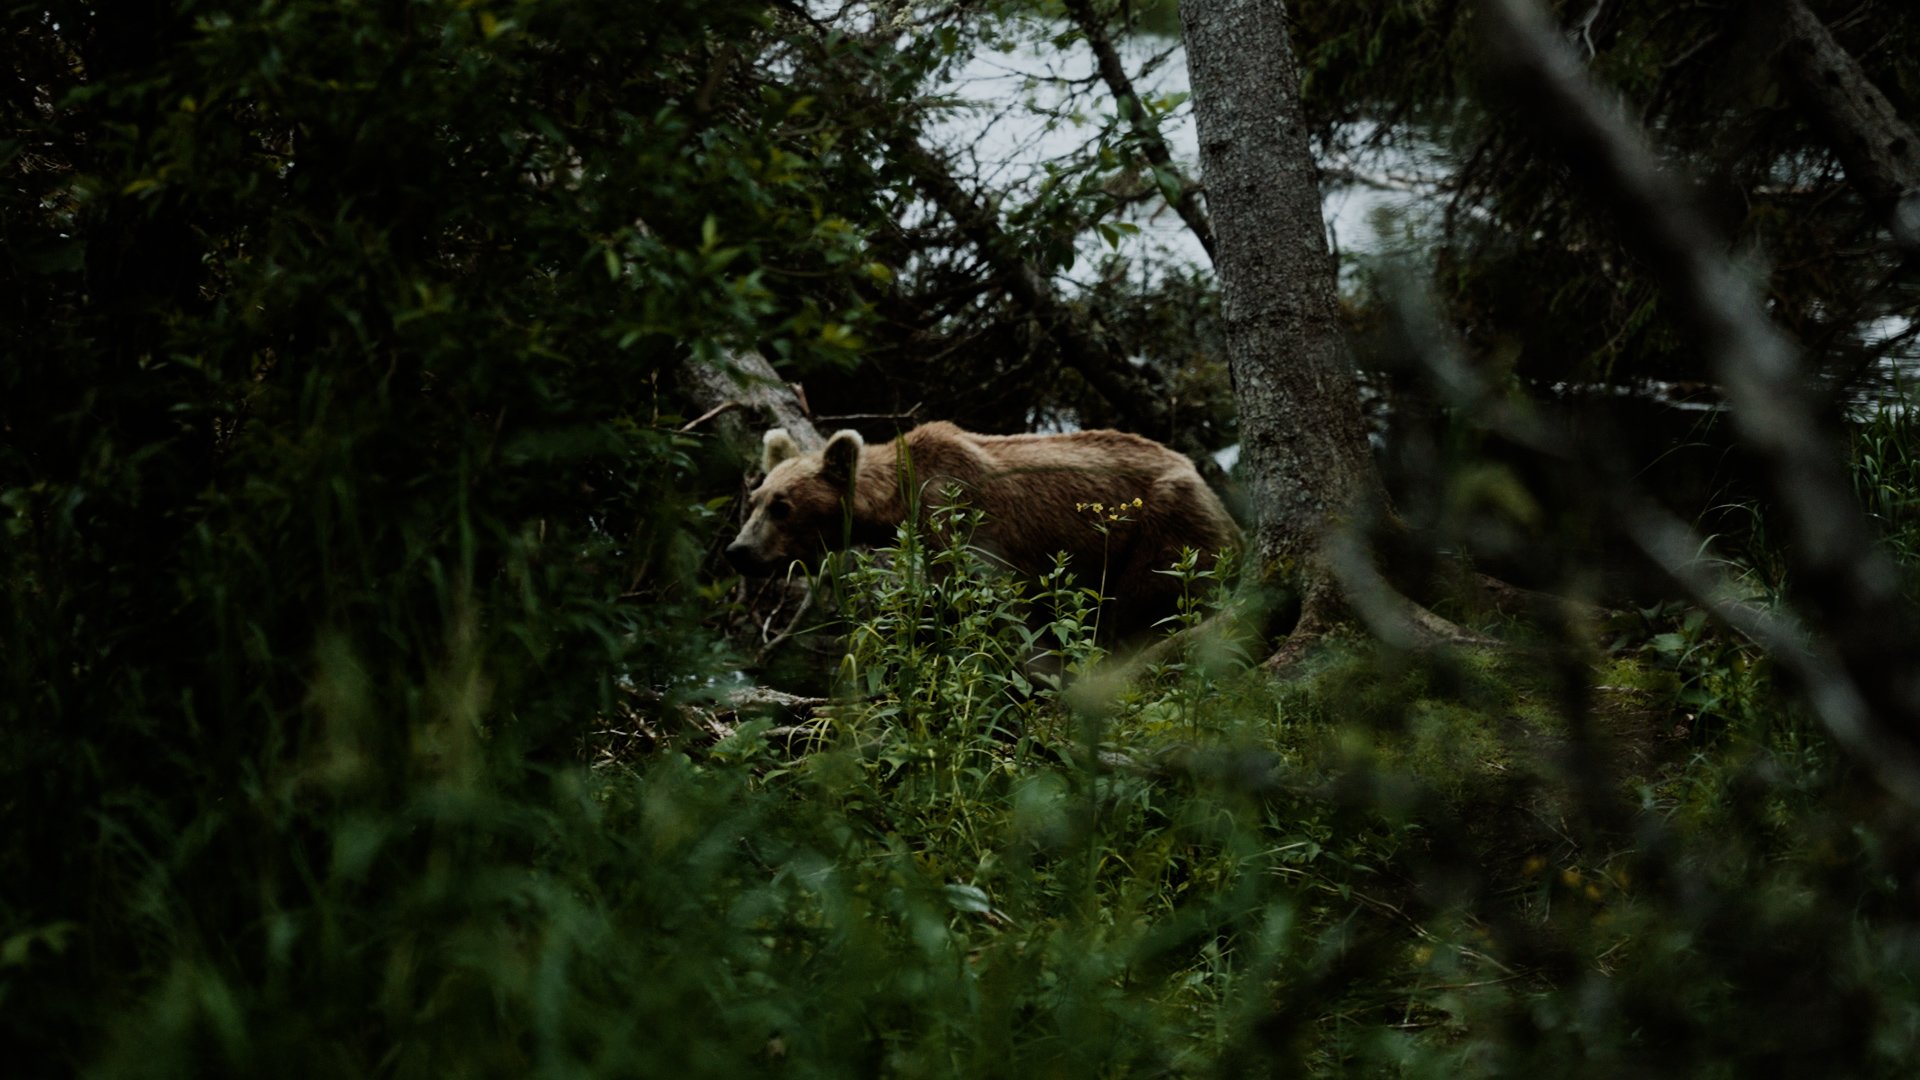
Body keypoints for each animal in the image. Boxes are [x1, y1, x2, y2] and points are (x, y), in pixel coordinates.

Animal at [725, 421, 1240, 642]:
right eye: (757, 499)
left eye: (784, 507)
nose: (739, 550)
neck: (903, 495)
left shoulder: (965, 518)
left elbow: (992, 602)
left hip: (1166, 527)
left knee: (1146, 601)